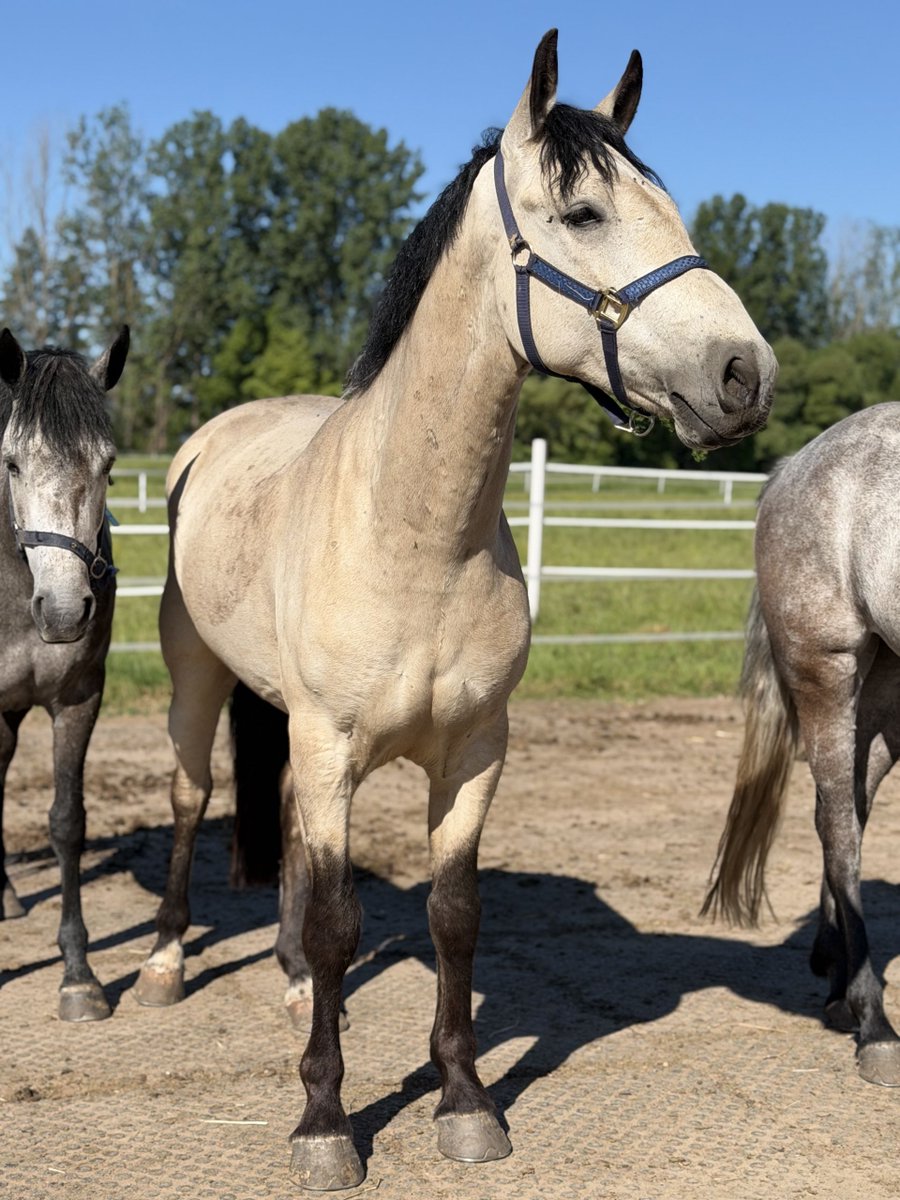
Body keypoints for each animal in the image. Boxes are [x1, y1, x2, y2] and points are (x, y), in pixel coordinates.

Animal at [133, 29, 776, 1189]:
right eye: (584, 214)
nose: (746, 374)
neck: (414, 533)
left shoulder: (475, 748)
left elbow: (453, 915)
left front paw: (467, 1101)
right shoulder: (334, 744)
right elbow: (343, 922)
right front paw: (325, 1123)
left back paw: (288, 981)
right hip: (197, 683)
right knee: (191, 798)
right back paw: (163, 964)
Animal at [704, 402, 900, 1089]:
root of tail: (797, 463)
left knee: (845, 811)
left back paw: (842, 987)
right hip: (827, 671)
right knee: (841, 830)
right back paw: (874, 1024)